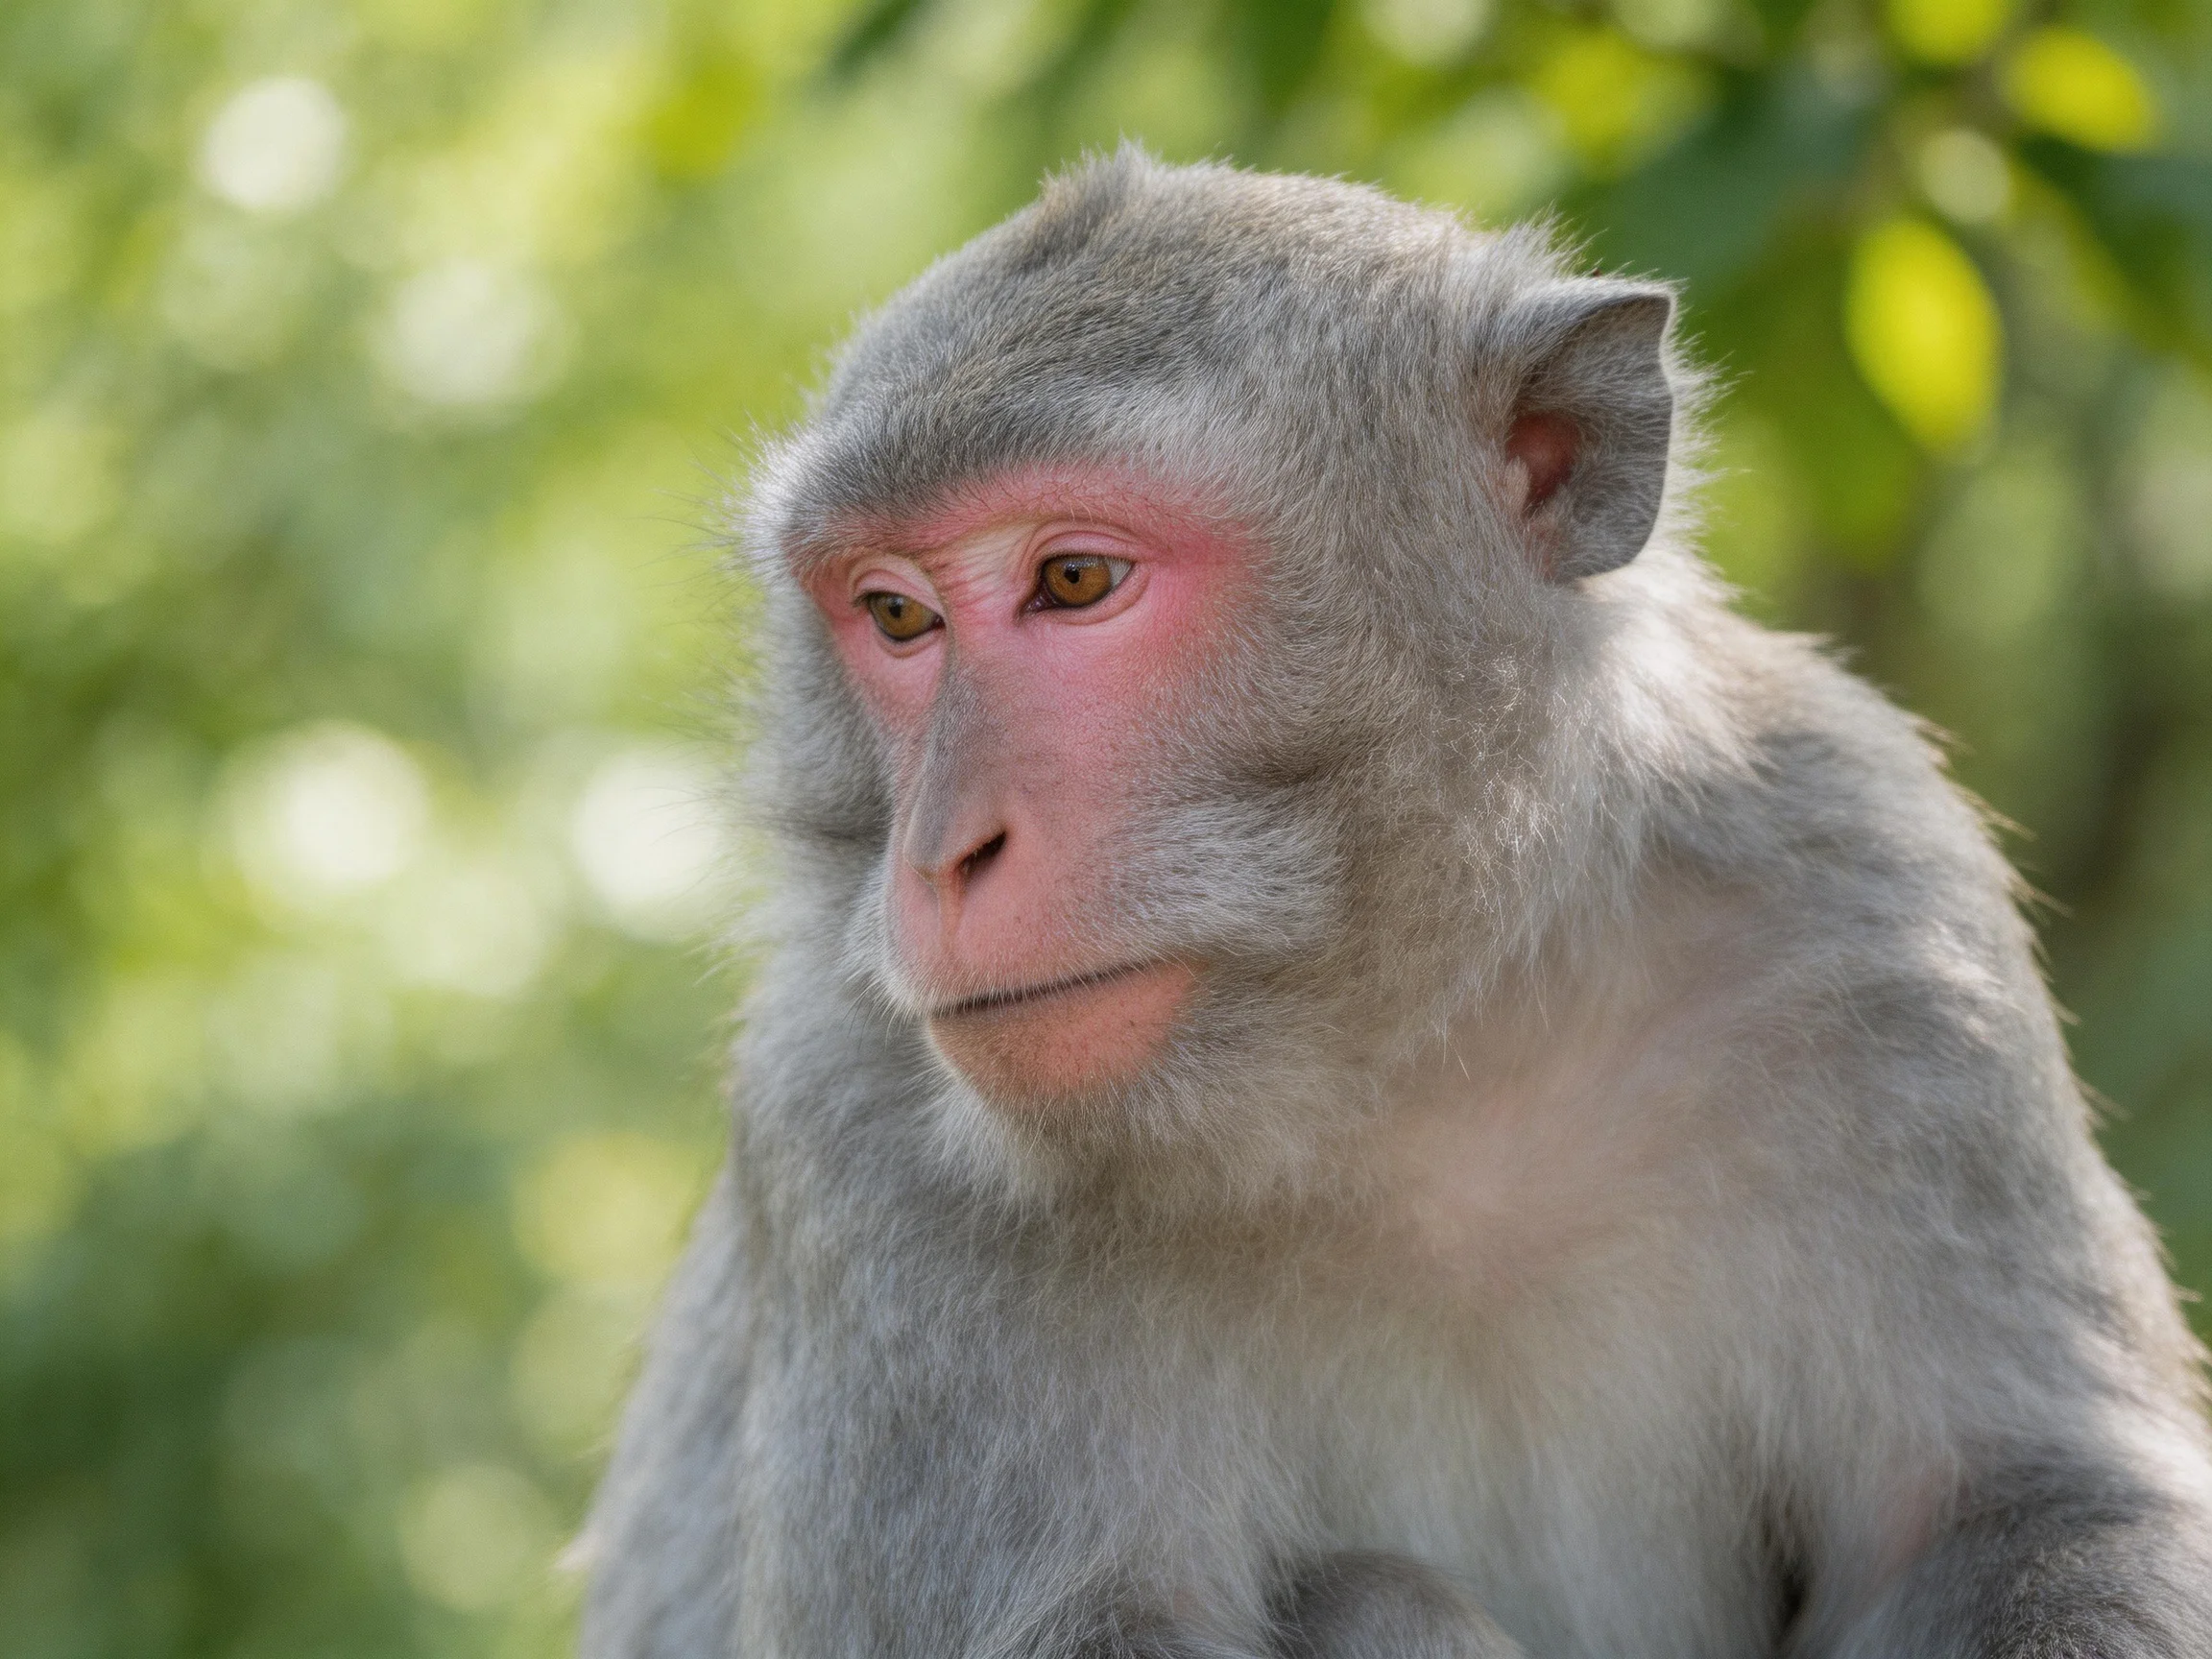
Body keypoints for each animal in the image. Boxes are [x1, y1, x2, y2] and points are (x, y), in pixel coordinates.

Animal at [577, 150, 2212, 1658]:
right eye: (897, 615)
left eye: (1077, 580)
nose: (940, 855)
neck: (1409, 1070)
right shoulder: (853, 1122)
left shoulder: (1875, 918)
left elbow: (2022, 1508)